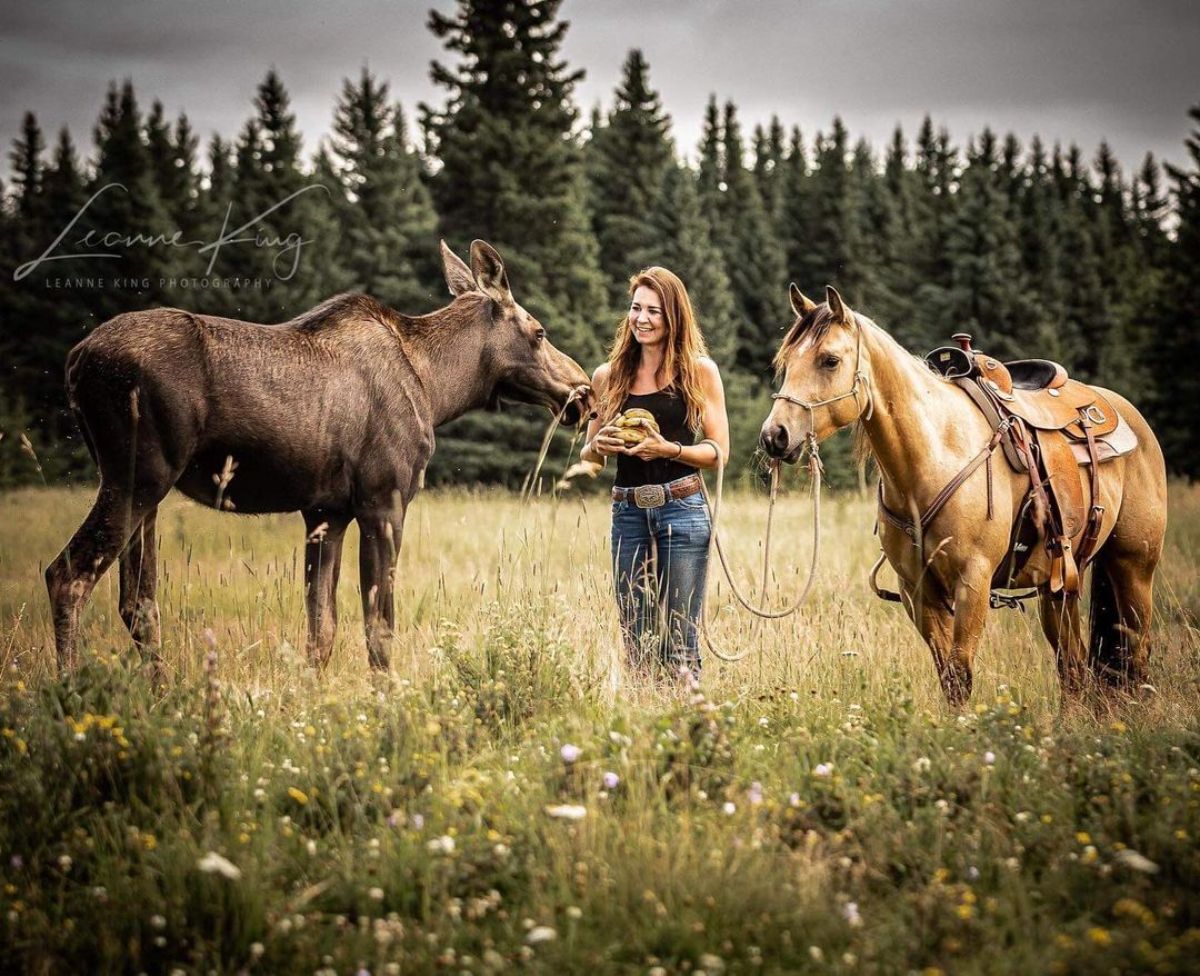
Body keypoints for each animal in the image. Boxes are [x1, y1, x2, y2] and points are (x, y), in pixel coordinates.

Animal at [45, 240, 590, 672]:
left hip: (146, 489)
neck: (438, 389)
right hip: (137, 474)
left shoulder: (326, 512)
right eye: (539, 332)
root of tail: (74, 362)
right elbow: (379, 628)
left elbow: (320, 631)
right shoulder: (383, 501)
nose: (582, 388)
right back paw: (71, 691)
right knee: (68, 575)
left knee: (137, 601)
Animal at [763, 285, 1166, 705]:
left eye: (830, 360)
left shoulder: (973, 581)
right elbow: (948, 677)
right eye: (786, 362)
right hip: (1059, 585)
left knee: (1136, 652)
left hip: (1134, 567)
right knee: (1072, 668)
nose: (775, 435)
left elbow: (960, 674)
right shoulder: (917, 591)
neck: (935, 455)